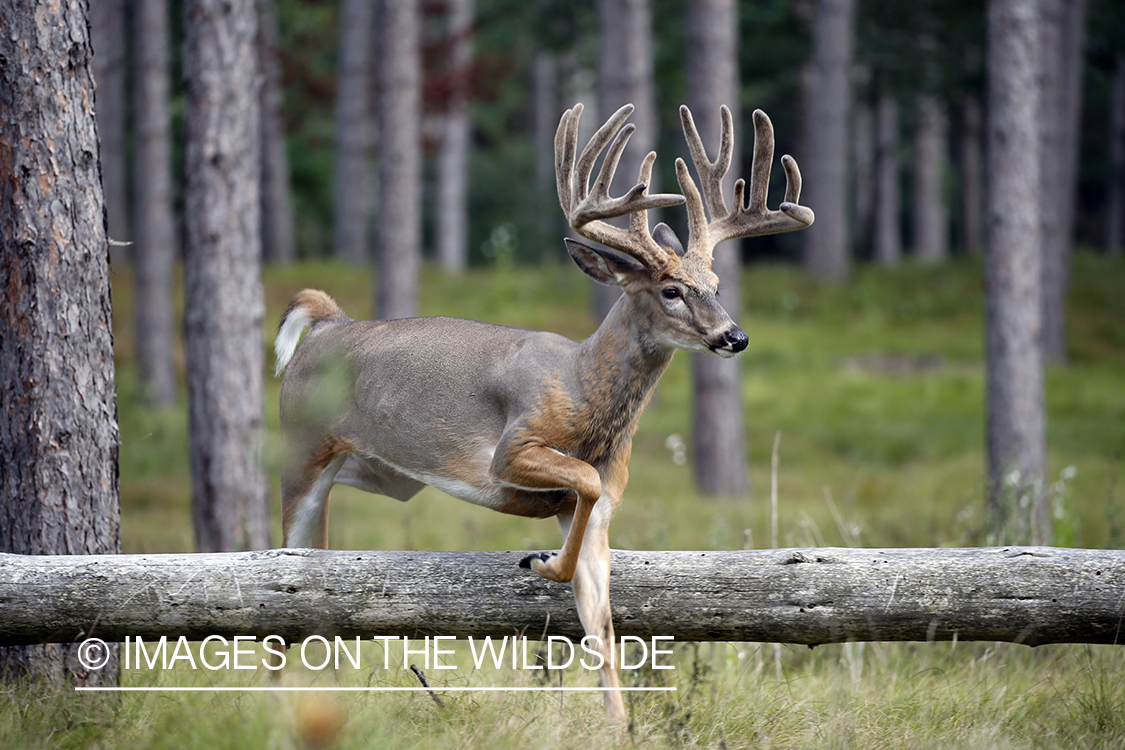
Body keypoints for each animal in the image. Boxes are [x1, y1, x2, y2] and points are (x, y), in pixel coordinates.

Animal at [276, 102, 814, 724]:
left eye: (718, 285)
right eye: (671, 290)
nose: (735, 336)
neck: (584, 395)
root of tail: (327, 321)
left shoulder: (603, 507)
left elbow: (602, 629)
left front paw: (619, 728)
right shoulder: (510, 449)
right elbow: (578, 484)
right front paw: (537, 562)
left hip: (364, 473)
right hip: (300, 449)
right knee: (283, 566)